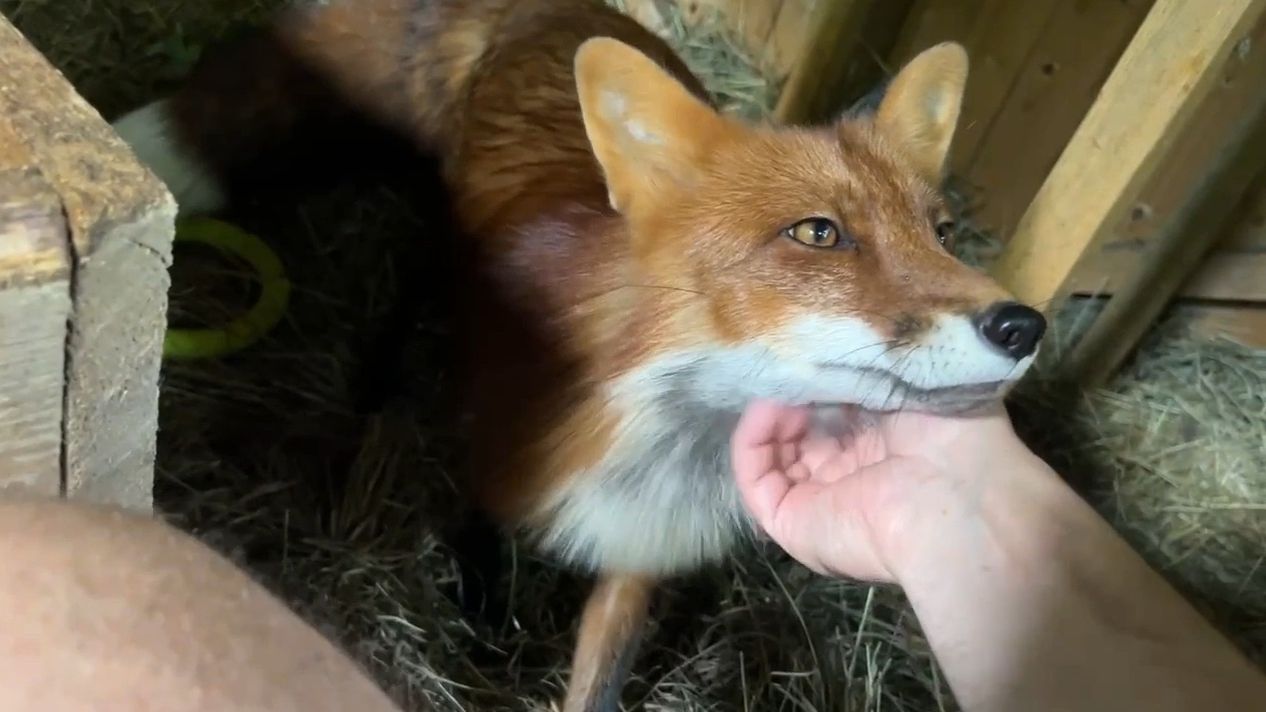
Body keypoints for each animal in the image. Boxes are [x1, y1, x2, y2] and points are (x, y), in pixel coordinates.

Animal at [110, 0, 1047, 709]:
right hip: (439, 249)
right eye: (818, 234)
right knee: (409, 297)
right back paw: (374, 383)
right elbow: (479, 536)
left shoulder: (639, 562)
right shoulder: (496, 462)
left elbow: (599, 683)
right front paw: (486, 622)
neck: (660, 440)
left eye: (943, 234)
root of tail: (562, 8)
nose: (1024, 326)